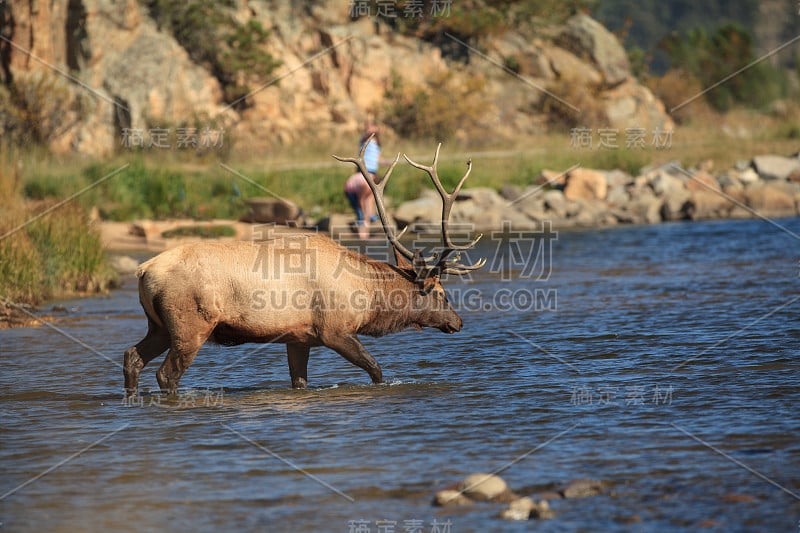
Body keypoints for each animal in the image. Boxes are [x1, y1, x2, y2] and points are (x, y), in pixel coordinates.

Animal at [122, 139, 484, 396]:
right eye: (441, 293)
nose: (458, 322)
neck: (368, 297)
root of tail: (143, 271)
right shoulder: (334, 330)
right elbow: (376, 370)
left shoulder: (298, 337)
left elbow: (299, 382)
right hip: (191, 324)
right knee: (166, 373)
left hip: (160, 326)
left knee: (132, 357)